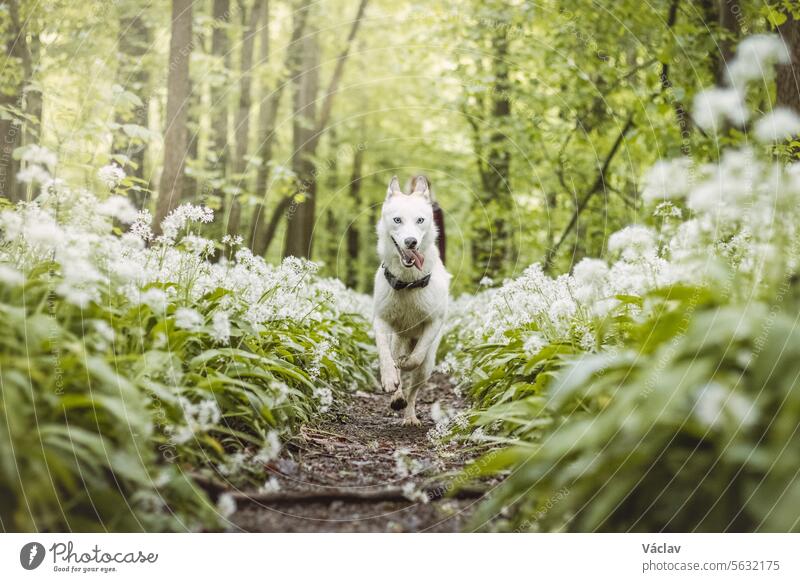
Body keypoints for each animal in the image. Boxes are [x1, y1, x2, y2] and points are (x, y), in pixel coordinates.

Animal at [372, 176, 446, 426]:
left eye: (420, 220)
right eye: (397, 220)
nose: (411, 242)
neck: (408, 283)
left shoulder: (434, 322)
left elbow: (415, 358)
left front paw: (406, 362)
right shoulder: (381, 319)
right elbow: (385, 354)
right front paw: (388, 378)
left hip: (428, 366)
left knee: (413, 388)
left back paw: (410, 415)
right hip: (398, 338)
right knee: (396, 363)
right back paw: (396, 396)